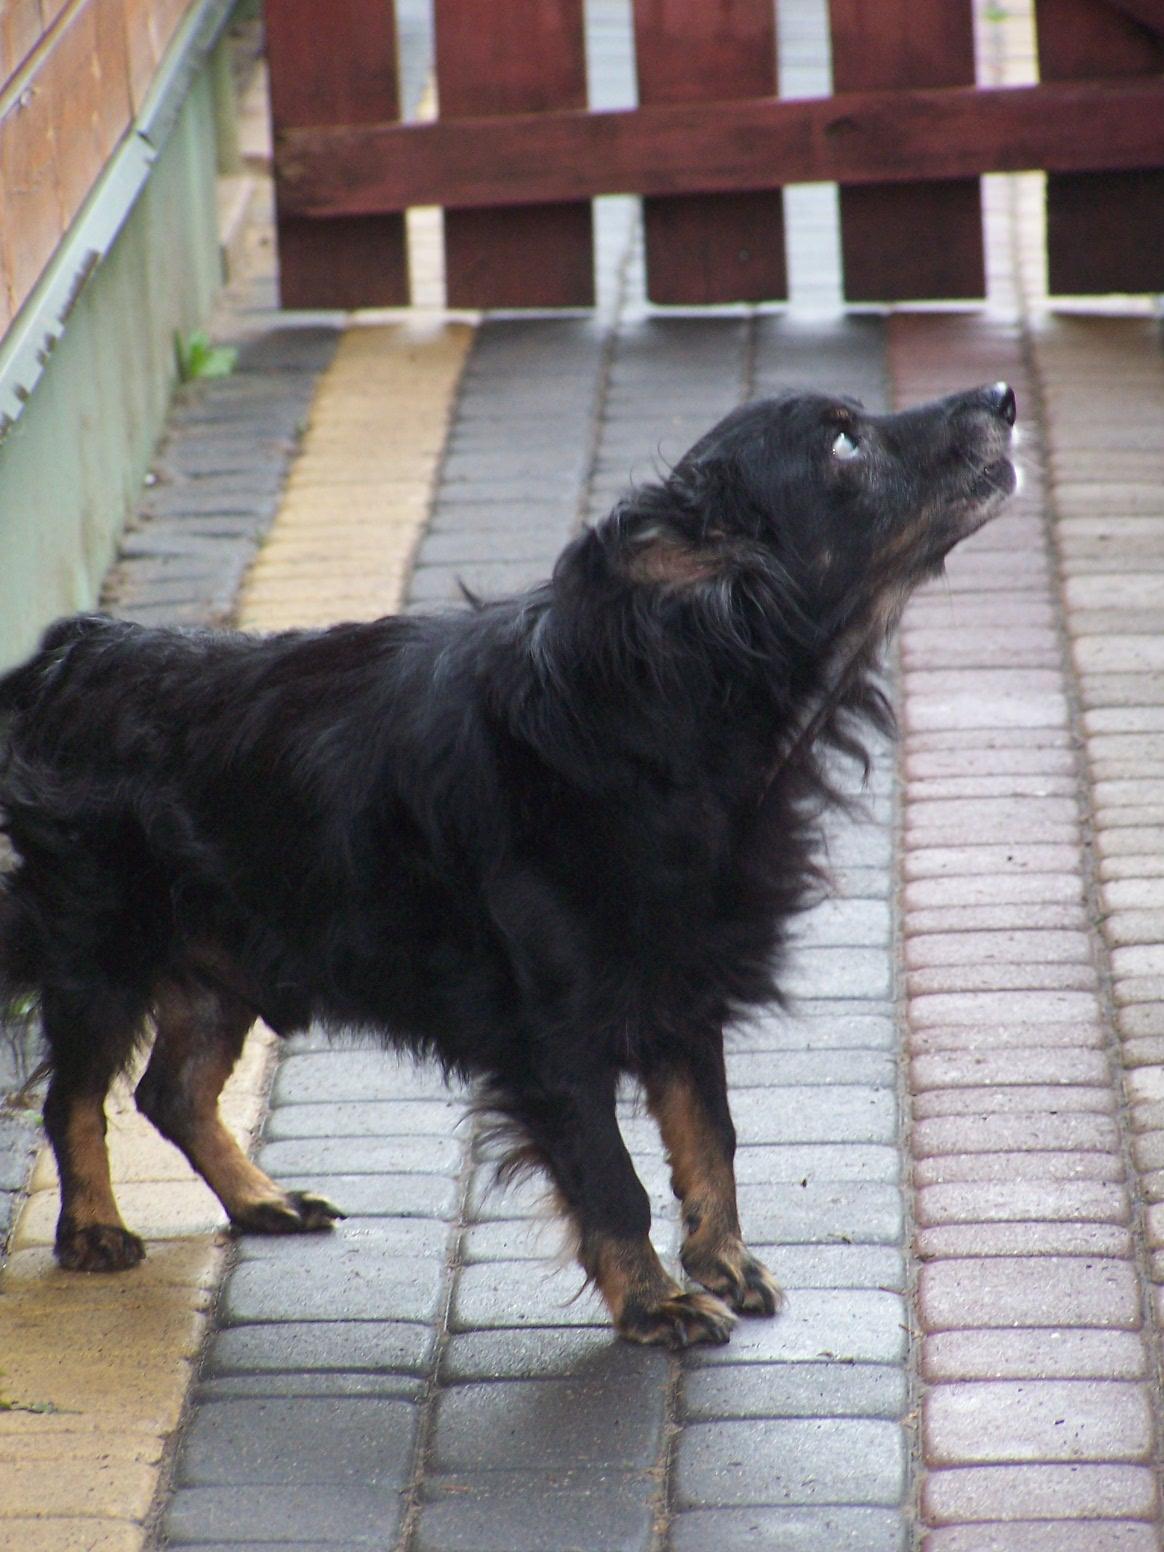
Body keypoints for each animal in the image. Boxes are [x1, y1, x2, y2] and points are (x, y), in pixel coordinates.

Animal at [0, 383, 1016, 1346]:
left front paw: (722, 1260)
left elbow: (712, 1137)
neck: (658, 711)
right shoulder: (554, 1033)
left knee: (170, 1091)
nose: (1003, 399)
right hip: (101, 950)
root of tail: (72, 650)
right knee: (77, 1096)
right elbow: (613, 1179)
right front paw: (655, 1303)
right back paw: (93, 1229)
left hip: (228, 960)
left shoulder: (680, 987)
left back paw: (262, 1200)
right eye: (844, 441)